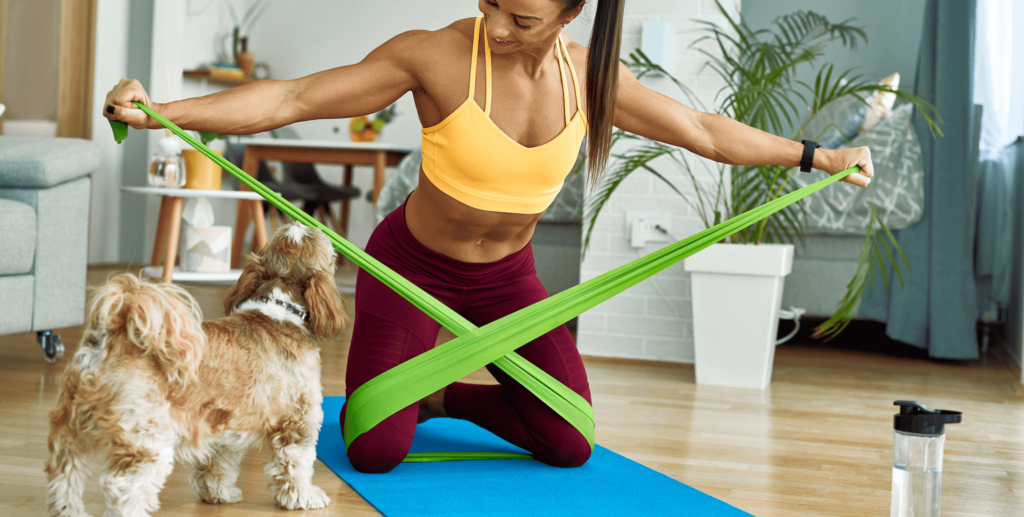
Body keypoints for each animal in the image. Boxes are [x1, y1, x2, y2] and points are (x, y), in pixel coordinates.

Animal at [46, 223, 348, 515]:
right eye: (329, 249)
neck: (280, 310)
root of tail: (116, 335)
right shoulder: (298, 422)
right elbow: (296, 468)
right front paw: (306, 497)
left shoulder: (224, 426)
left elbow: (218, 466)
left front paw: (219, 494)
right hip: (147, 442)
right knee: (125, 490)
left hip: (71, 436)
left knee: (65, 480)